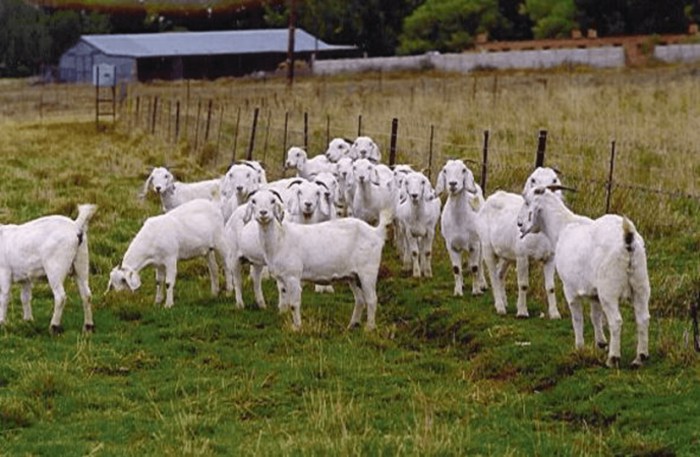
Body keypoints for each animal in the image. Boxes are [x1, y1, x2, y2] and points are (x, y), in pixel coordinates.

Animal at [0, 205, 97, 334]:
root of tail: (75, 225)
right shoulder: (25, 277)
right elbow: (25, 297)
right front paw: (28, 320)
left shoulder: (4, 272)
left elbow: (4, 297)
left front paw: (2, 322)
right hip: (82, 262)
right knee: (86, 294)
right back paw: (88, 326)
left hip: (55, 268)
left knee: (60, 297)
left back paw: (54, 326)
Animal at [246, 187, 392, 330]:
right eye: (253, 201)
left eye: (272, 201)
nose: (263, 213)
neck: (280, 238)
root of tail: (376, 232)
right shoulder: (282, 277)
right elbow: (285, 298)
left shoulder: (293, 276)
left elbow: (294, 304)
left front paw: (297, 328)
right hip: (353, 275)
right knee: (360, 299)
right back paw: (352, 325)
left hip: (367, 271)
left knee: (372, 299)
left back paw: (369, 328)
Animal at [438, 159, 486, 296]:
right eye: (445, 170)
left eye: (463, 170)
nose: (453, 184)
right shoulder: (451, 246)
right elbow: (456, 269)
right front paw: (458, 291)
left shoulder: (475, 244)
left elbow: (475, 267)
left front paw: (476, 291)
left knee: (480, 263)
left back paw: (482, 284)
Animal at [478, 166, 568, 318]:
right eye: (533, 180)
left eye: (554, 179)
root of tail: (493, 196)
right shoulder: (522, 256)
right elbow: (523, 285)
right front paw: (522, 312)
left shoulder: (550, 258)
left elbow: (551, 287)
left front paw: (554, 314)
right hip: (487, 247)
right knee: (493, 276)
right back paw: (500, 307)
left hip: (507, 254)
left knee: (499, 273)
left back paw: (504, 301)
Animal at [516, 185, 652, 366]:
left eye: (527, 202)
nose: (519, 224)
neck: (563, 227)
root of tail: (628, 241)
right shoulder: (594, 293)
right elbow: (595, 316)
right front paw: (600, 343)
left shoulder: (570, 288)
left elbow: (577, 319)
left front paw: (579, 347)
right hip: (641, 285)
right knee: (643, 318)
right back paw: (640, 357)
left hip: (609, 291)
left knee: (616, 321)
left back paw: (613, 358)